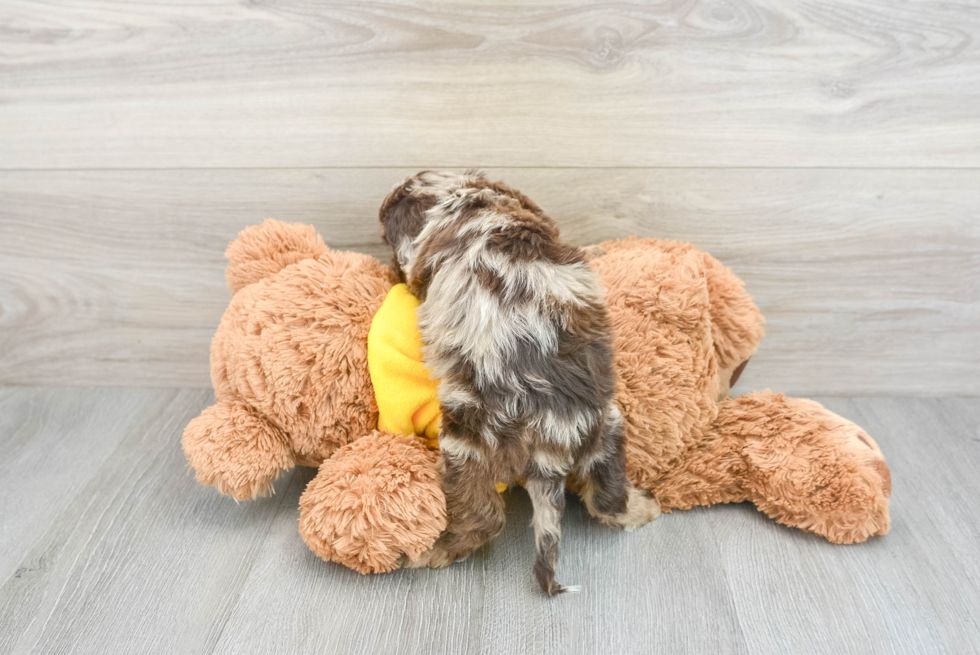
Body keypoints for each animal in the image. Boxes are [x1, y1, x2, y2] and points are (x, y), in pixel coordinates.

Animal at [378, 172, 664, 596]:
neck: (468, 199)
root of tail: (553, 438)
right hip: (607, 428)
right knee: (606, 498)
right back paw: (643, 508)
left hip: (466, 442)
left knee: (483, 517)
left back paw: (437, 550)